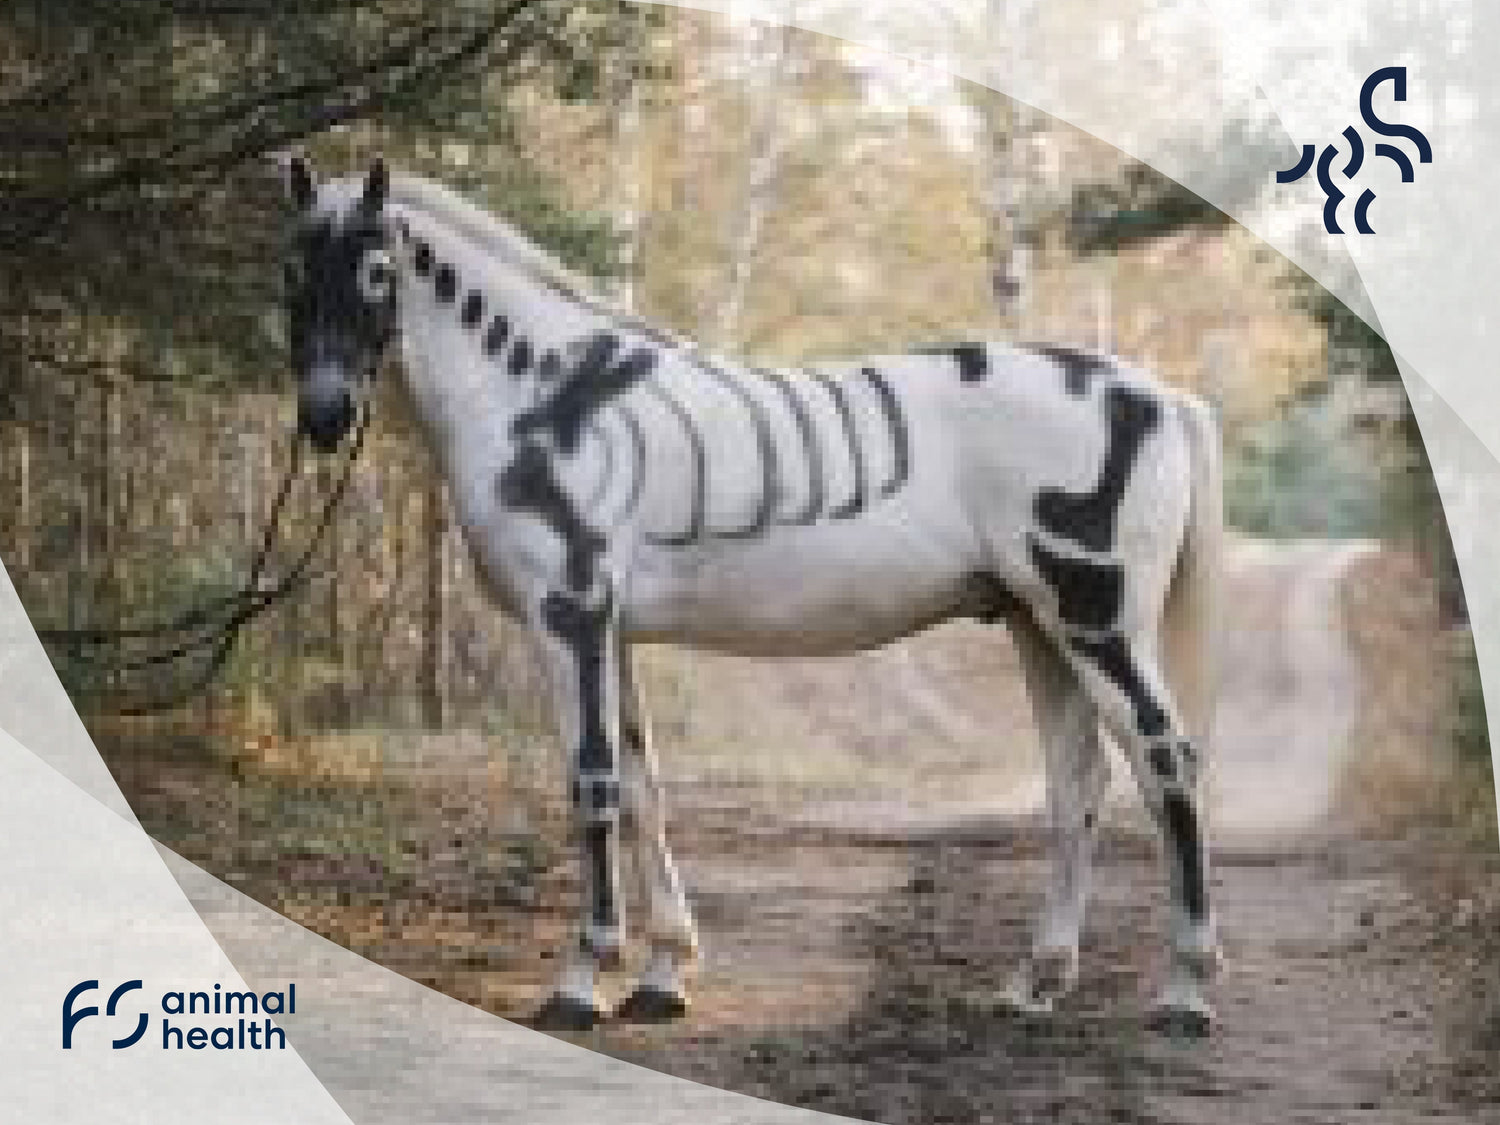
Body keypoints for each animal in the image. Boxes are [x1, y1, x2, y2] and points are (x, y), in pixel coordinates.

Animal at [277, 156, 1224, 1034]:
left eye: (377, 270)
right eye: (290, 271)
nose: (324, 417)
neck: (546, 396)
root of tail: (1158, 396)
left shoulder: (569, 616)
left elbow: (592, 782)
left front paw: (583, 979)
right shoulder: (613, 632)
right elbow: (644, 787)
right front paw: (663, 975)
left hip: (1097, 622)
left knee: (1165, 760)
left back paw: (1185, 991)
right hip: (1038, 625)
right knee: (1078, 783)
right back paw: (1035, 983)